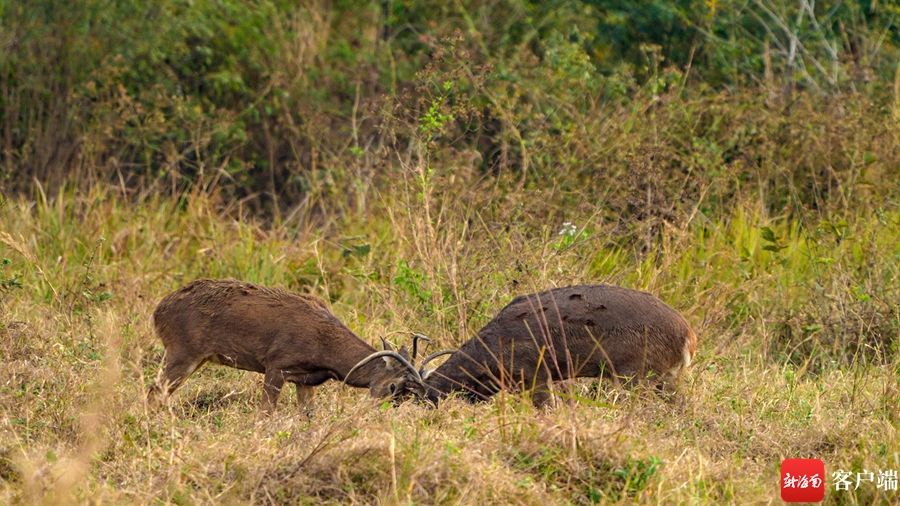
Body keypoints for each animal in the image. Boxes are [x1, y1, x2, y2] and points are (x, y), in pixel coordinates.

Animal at [148, 278, 428, 414]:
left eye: (406, 396)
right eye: (393, 387)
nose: (379, 413)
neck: (324, 347)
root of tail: (158, 311)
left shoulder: (304, 380)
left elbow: (308, 416)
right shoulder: (276, 364)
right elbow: (266, 413)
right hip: (183, 351)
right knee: (155, 391)